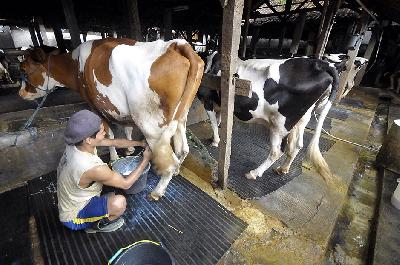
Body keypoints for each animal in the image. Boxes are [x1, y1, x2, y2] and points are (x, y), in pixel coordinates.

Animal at [18, 36, 205, 198]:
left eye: (24, 70)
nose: (20, 93)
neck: (76, 65)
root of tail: (176, 44)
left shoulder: (95, 106)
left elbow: (109, 134)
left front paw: (114, 158)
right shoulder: (122, 109)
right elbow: (127, 128)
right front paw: (130, 149)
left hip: (150, 123)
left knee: (169, 160)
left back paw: (157, 191)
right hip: (181, 116)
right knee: (183, 149)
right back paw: (177, 170)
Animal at [198, 52, 340, 183]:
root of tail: (320, 64)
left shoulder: (207, 100)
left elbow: (213, 122)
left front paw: (215, 141)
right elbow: (218, 119)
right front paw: (216, 135)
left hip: (279, 124)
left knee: (276, 151)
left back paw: (254, 173)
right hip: (302, 119)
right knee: (297, 145)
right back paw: (283, 169)